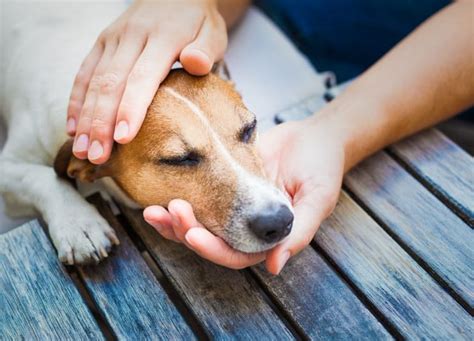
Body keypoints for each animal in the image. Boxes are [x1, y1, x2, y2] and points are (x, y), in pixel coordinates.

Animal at [0, 1, 292, 262]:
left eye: (249, 129)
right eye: (179, 159)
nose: (278, 221)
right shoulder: (9, 168)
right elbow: (43, 178)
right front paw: (78, 223)